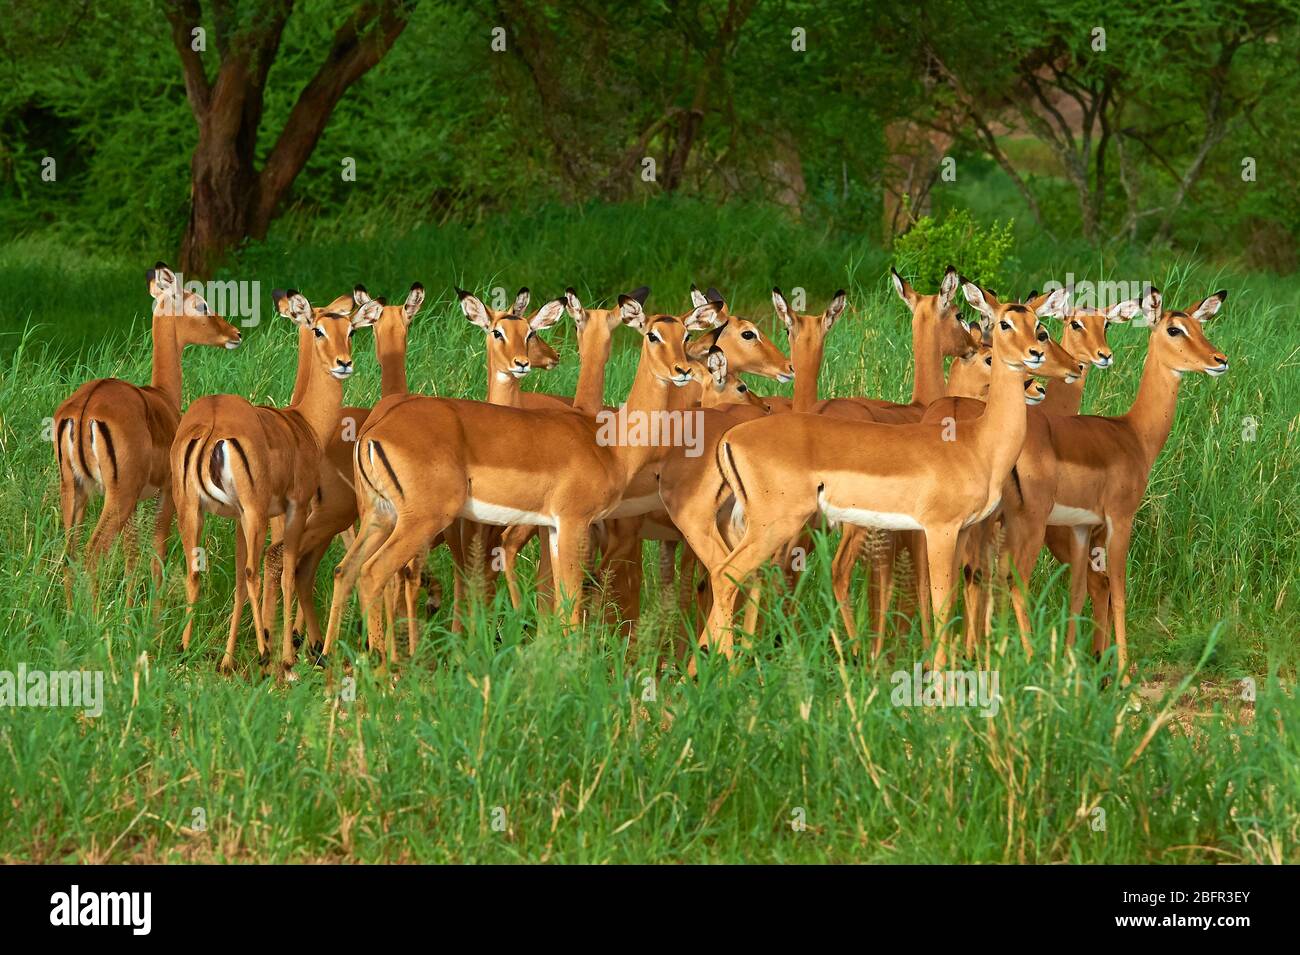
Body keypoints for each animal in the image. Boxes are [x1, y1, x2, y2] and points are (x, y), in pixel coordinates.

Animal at [54, 262, 241, 603]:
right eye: (202, 304)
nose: (235, 334)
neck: (163, 398)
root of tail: (85, 407)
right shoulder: (167, 492)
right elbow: (156, 554)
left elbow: (132, 554)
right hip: (117, 495)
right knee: (93, 554)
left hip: (76, 490)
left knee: (70, 555)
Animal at [171, 289, 381, 674]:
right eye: (318, 329)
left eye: (350, 331)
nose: (343, 363)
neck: (303, 423)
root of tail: (212, 426)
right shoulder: (293, 508)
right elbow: (285, 572)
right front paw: (286, 656)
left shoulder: (237, 518)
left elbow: (240, 582)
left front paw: (227, 660)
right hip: (256, 512)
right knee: (258, 571)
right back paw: (266, 652)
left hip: (193, 509)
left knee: (198, 572)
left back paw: (185, 648)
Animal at [321, 291, 724, 658]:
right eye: (652, 335)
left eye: (685, 335)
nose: (682, 370)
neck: (609, 443)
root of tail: (374, 431)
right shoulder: (574, 521)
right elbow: (572, 601)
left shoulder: (556, 528)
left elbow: (561, 602)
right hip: (421, 520)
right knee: (374, 574)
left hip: (380, 516)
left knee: (346, 570)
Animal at [698, 280, 1079, 671]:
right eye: (1005, 324)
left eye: (1038, 325)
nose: (1035, 356)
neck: (978, 442)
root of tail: (730, 438)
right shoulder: (939, 530)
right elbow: (940, 602)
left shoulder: (960, 532)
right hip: (775, 525)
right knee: (726, 575)